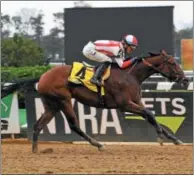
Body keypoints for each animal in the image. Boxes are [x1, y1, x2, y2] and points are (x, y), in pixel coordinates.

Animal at [31, 49, 188, 153]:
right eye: (172, 63)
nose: (185, 79)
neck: (131, 75)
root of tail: (42, 78)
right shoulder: (125, 104)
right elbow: (149, 114)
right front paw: (160, 137)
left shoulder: (137, 101)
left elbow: (151, 116)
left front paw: (174, 139)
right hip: (64, 100)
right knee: (74, 125)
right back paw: (98, 144)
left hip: (52, 105)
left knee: (38, 125)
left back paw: (35, 150)